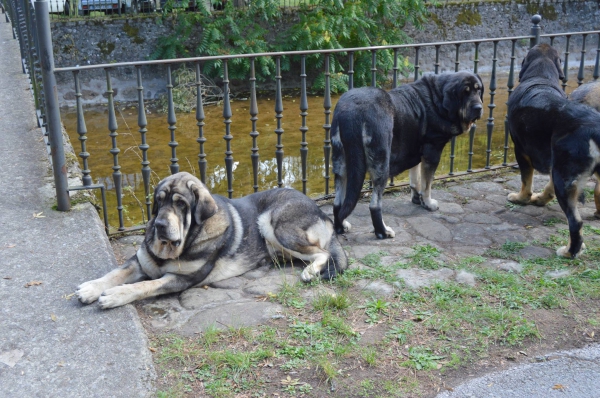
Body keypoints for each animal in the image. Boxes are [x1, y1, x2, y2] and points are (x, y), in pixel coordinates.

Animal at [78, 173, 346, 310]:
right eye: (159, 200)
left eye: (181, 204)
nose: (159, 225)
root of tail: (321, 212)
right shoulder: (140, 261)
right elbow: (116, 273)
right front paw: (91, 288)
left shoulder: (180, 279)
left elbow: (144, 285)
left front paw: (114, 295)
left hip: (274, 225)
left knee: (322, 253)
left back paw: (310, 271)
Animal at [330, 70, 486, 239]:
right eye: (465, 92)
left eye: (478, 90)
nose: (478, 107)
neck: (438, 98)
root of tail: (351, 112)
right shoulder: (433, 151)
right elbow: (427, 184)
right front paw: (428, 203)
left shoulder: (416, 152)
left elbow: (415, 179)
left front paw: (417, 198)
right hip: (381, 164)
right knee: (374, 205)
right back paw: (383, 232)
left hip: (341, 163)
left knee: (338, 202)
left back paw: (340, 227)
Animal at [506, 44, 600, 258]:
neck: (540, 77)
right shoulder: (552, 160)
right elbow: (546, 186)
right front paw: (541, 199)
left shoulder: (520, 150)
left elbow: (526, 181)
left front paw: (522, 199)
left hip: (563, 179)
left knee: (576, 222)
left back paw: (569, 252)